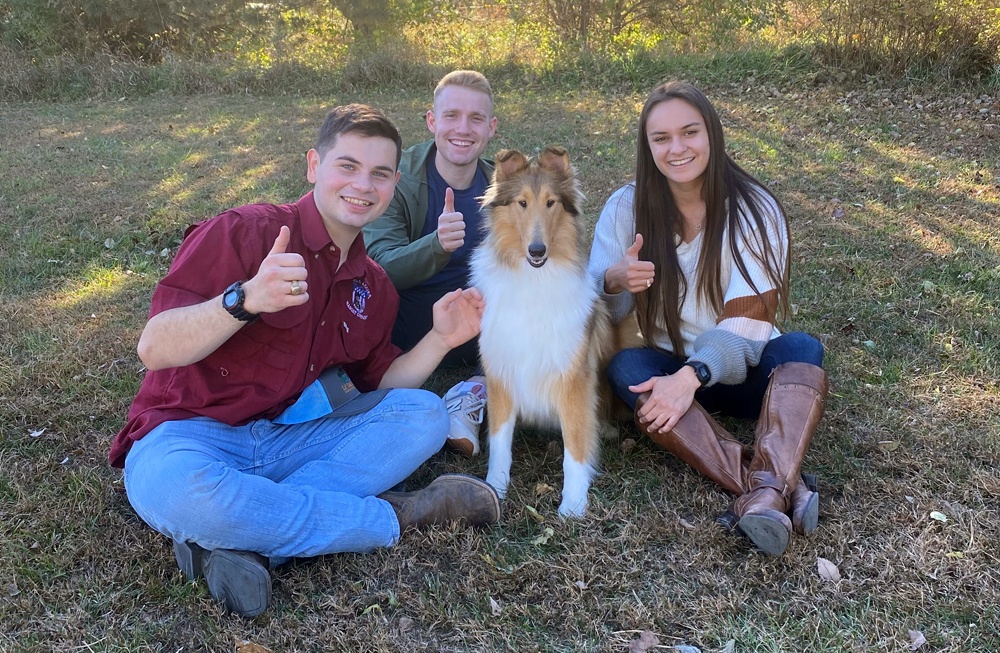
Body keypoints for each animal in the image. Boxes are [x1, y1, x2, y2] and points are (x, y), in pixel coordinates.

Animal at [472, 145, 612, 516]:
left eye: (551, 202)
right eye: (521, 202)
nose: (537, 250)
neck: (534, 279)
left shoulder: (575, 380)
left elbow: (575, 447)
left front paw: (573, 504)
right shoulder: (500, 373)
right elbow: (499, 443)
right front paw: (494, 489)